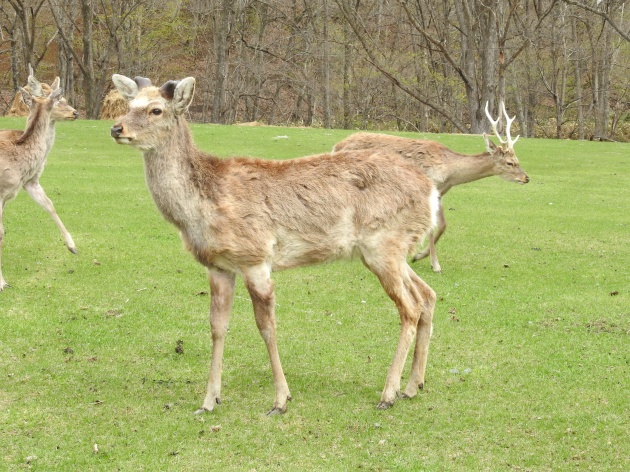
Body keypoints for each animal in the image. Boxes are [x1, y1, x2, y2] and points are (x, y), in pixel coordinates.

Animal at [0, 70, 79, 292]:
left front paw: (73, 246)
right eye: (60, 100)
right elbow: (0, 232)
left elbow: (50, 205)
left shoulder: (29, 182)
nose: (75, 112)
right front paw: (2, 282)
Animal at [111, 73, 442, 412]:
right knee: (427, 296)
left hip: (383, 244)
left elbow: (266, 327)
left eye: (156, 110)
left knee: (409, 308)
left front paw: (281, 399)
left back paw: (389, 393)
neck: (201, 208)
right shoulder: (218, 266)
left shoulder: (255, 257)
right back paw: (413, 385)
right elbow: (217, 327)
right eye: (128, 104)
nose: (116, 128)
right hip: (391, 250)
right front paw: (209, 399)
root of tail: (431, 192)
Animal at [334, 102, 532, 272]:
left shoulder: (440, 192)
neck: (450, 172)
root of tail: (337, 146)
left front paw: (420, 256)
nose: (526, 177)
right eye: (510, 163)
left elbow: (443, 225)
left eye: (518, 160)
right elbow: (431, 226)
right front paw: (434, 264)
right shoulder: (430, 186)